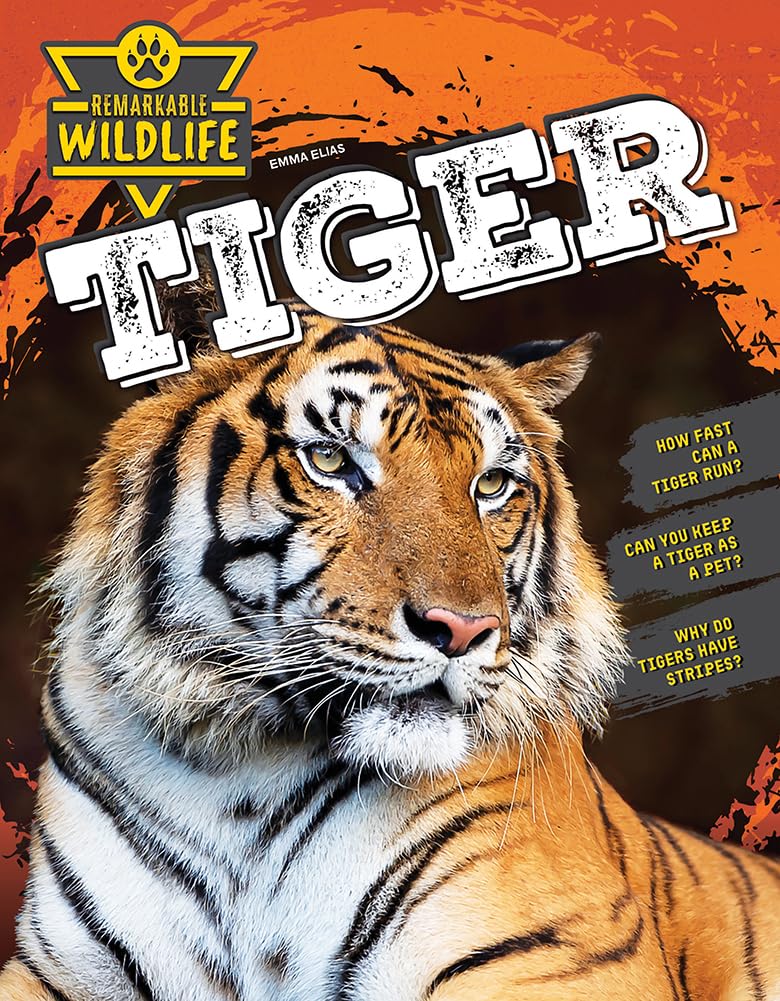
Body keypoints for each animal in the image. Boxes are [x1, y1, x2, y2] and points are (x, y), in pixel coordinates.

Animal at [1, 301, 779, 1001]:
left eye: (491, 484)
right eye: (330, 459)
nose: (462, 630)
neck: (239, 777)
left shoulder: (554, 954)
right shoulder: (60, 966)